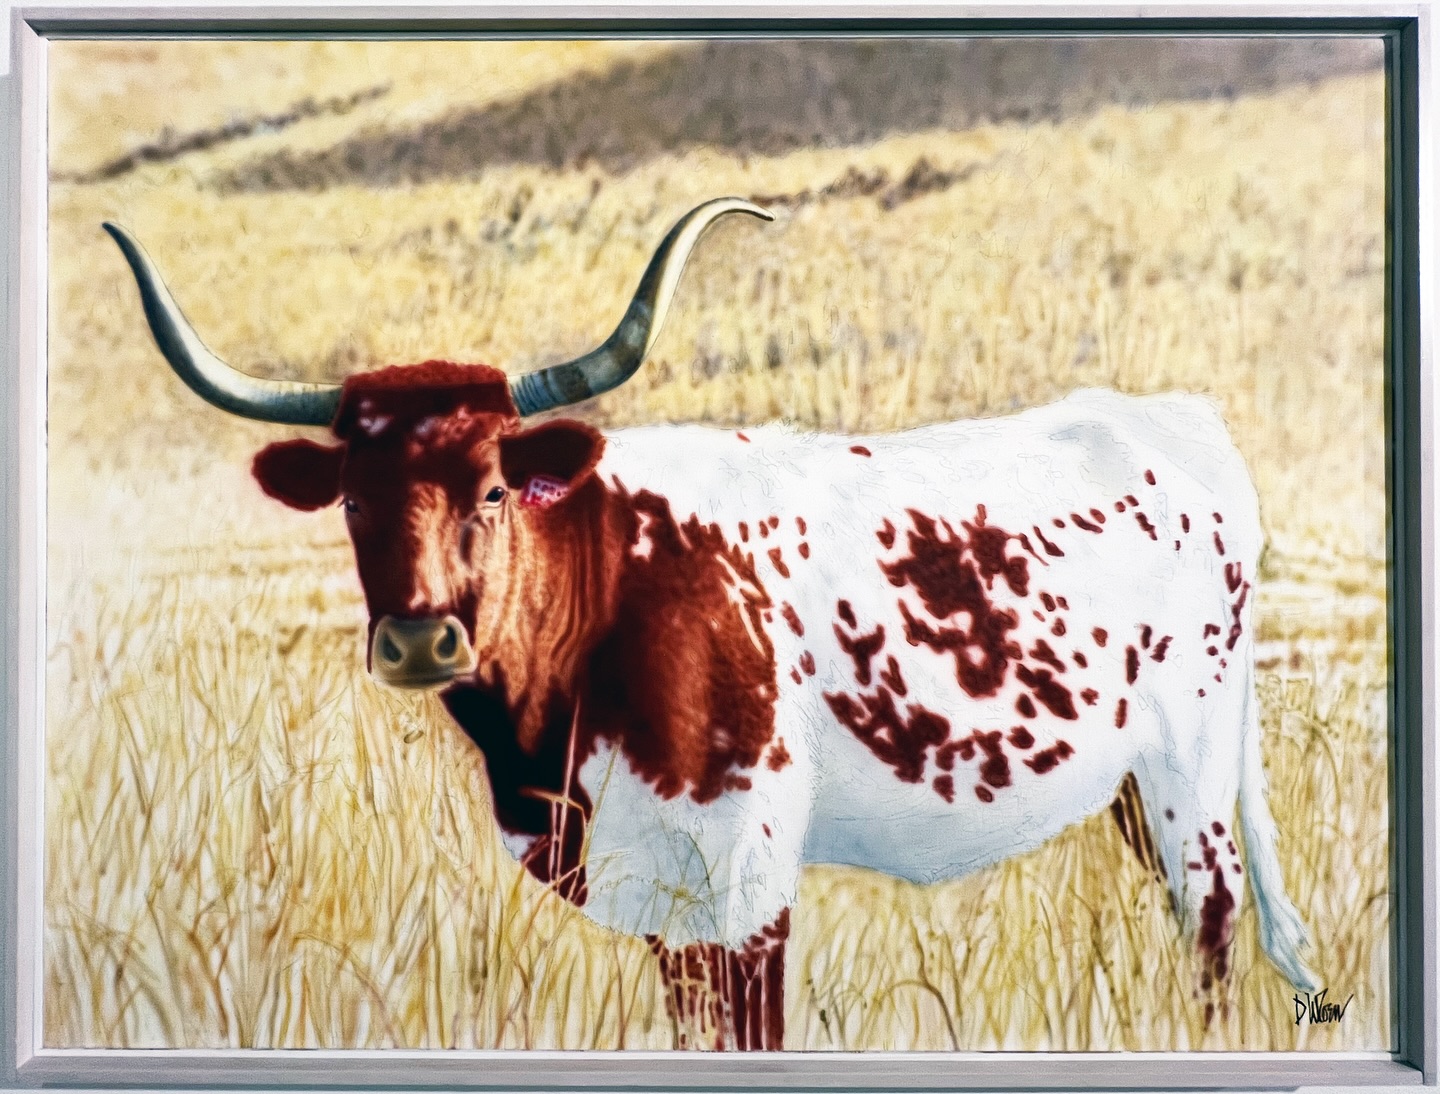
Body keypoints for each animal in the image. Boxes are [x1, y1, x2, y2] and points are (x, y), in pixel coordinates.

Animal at [105, 197, 1316, 1051]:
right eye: (354, 499)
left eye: (494, 487)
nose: (417, 640)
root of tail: (1168, 418)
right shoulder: (658, 893)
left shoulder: (747, 876)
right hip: (1130, 783)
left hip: (1191, 769)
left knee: (1211, 927)